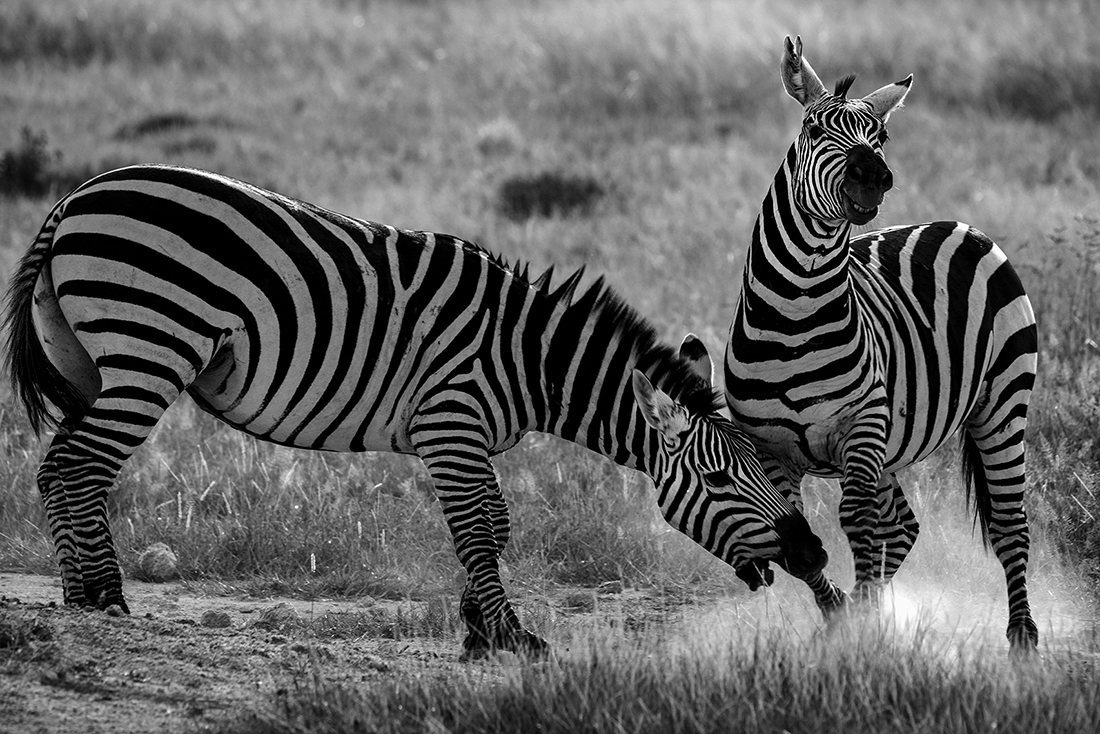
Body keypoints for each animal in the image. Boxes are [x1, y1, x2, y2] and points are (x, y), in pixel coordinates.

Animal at [4, 164, 828, 659]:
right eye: (720, 482)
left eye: (773, 474)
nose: (815, 556)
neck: (526, 356)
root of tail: (73, 198)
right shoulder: (450, 423)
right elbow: (479, 528)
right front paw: (508, 636)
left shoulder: (467, 440)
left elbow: (493, 524)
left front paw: (479, 627)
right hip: (150, 347)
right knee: (81, 466)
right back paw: (106, 599)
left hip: (89, 362)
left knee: (57, 468)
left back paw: (78, 597)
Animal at [720, 37, 1039, 649]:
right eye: (815, 128)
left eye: (881, 137)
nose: (874, 176)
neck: (796, 312)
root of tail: (960, 225)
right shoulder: (773, 450)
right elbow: (801, 534)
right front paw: (840, 619)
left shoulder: (862, 426)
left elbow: (857, 522)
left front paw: (859, 627)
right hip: (895, 440)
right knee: (905, 525)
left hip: (1003, 402)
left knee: (1009, 523)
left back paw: (1023, 638)